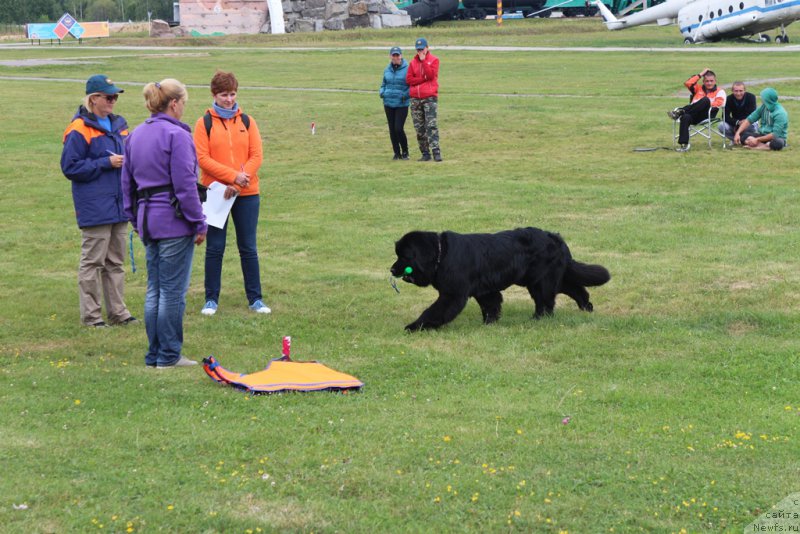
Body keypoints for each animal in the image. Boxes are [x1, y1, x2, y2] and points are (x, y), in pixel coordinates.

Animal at [390, 228, 608, 332]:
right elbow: (491, 305)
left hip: (540, 280)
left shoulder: (452, 294)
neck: (440, 255)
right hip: (543, 277)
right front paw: (490, 323)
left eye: (405, 256)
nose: (391, 269)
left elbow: (434, 311)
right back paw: (586, 306)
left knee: (545, 301)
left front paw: (414, 327)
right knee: (573, 287)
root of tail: (555, 237)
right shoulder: (484, 290)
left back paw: (538, 319)